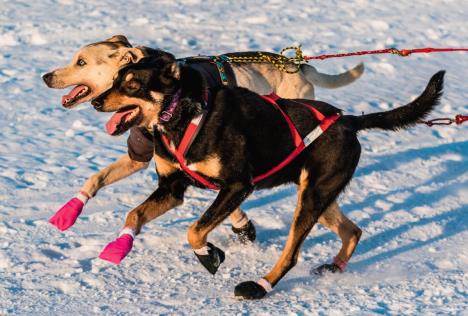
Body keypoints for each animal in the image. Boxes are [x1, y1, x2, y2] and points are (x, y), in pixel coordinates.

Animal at [92, 50, 446, 298]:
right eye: (116, 78)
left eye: (133, 84)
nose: (96, 101)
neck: (185, 112)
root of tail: (348, 121)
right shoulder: (172, 187)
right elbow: (134, 214)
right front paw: (119, 247)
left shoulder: (237, 186)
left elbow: (195, 230)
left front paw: (209, 255)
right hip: (318, 195)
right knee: (353, 231)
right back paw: (334, 266)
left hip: (312, 198)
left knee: (291, 254)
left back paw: (260, 287)